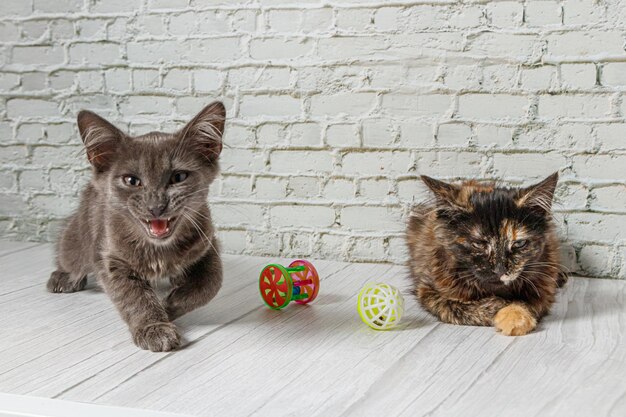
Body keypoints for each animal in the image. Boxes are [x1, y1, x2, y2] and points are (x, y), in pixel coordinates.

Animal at [48, 101, 225, 352]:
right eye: (132, 181)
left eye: (179, 177)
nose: (156, 207)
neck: (159, 250)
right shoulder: (111, 258)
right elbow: (134, 297)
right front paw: (155, 327)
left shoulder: (207, 243)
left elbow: (210, 284)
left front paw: (169, 305)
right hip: (78, 236)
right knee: (67, 251)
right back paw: (63, 277)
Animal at [404, 172, 564, 334]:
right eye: (478, 244)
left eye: (519, 244)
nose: (500, 270)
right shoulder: (428, 290)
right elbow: (462, 308)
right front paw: (507, 309)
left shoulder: (545, 286)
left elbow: (530, 301)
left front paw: (516, 315)